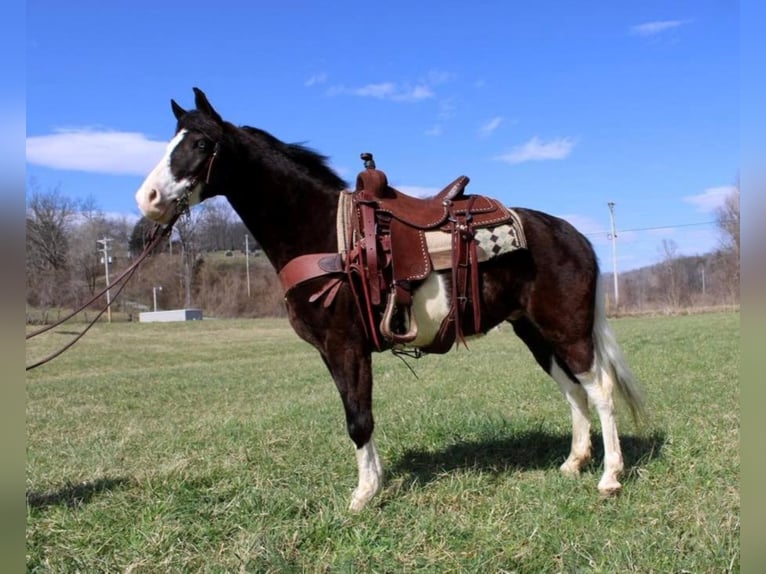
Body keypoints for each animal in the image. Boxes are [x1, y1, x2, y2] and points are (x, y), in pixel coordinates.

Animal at [135, 88, 644, 510]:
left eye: (201, 144)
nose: (148, 198)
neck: (324, 233)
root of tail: (572, 233)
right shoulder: (332, 352)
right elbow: (357, 413)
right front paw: (375, 480)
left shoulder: (345, 345)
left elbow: (358, 419)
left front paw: (363, 496)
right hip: (535, 332)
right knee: (572, 390)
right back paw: (574, 463)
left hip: (567, 328)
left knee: (599, 390)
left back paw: (610, 476)